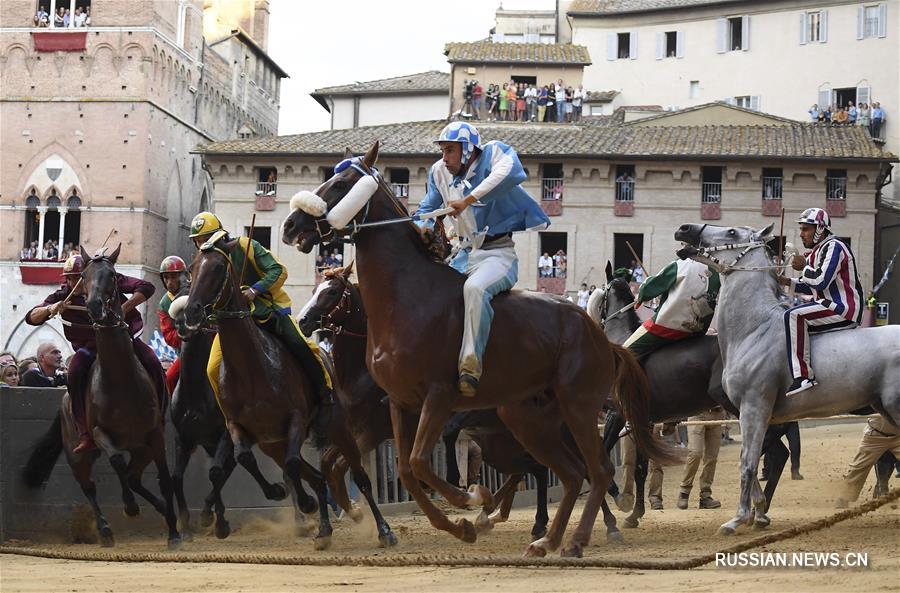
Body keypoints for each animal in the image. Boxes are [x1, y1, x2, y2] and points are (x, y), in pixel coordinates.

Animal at [165, 284, 284, 540]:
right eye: (176, 319)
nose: (184, 327)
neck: (196, 394)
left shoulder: (224, 434)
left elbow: (215, 473)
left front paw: (218, 522)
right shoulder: (184, 437)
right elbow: (177, 477)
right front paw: (186, 524)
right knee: (227, 465)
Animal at [282, 142, 676, 556]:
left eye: (341, 183)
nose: (291, 225)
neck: (406, 298)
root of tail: (602, 338)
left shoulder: (437, 398)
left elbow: (419, 462)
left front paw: (471, 498)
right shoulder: (399, 404)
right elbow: (406, 468)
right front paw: (460, 525)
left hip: (578, 406)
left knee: (596, 470)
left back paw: (577, 538)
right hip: (528, 418)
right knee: (570, 473)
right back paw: (546, 539)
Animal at [592, 264, 732, 528]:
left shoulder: (616, 415)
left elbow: (600, 462)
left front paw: (616, 508)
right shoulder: (642, 422)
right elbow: (640, 469)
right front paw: (634, 514)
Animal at [676, 220, 900, 536]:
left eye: (732, 232)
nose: (685, 229)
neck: (754, 330)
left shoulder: (754, 408)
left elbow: (747, 463)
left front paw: (738, 519)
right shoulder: (749, 415)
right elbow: (751, 459)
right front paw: (759, 514)